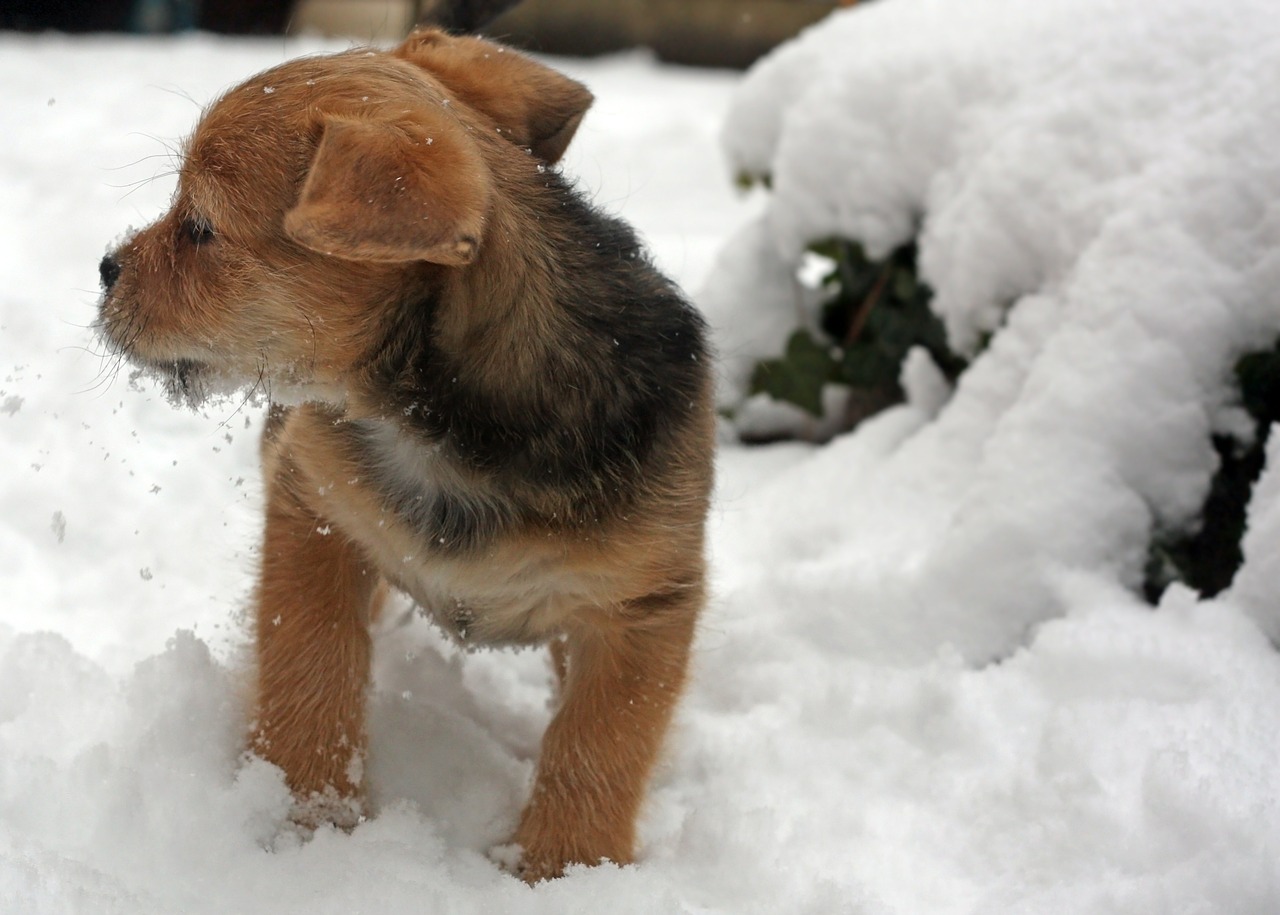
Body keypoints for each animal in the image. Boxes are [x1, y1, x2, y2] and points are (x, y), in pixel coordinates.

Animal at [97, 28, 721, 880]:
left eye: (199, 227)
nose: (104, 269)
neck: (446, 431)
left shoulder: (641, 603)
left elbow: (600, 742)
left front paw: (566, 869)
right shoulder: (314, 510)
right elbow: (311, 662)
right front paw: (311, 817)